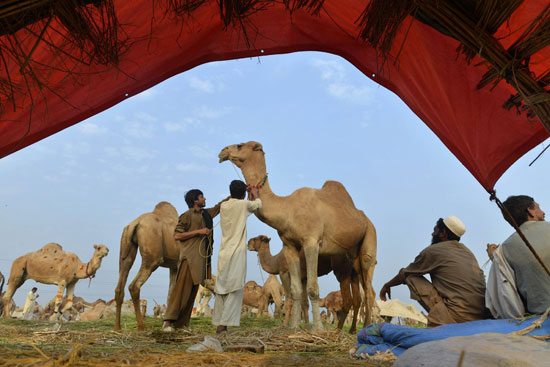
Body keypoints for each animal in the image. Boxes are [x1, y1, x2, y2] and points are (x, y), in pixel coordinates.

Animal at [113, 203, 180, 332]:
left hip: (126, 249)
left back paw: (117, 328)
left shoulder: (173, 266)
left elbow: (171, 293)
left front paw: (167, 325)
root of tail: (135, 223)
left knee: (119, 287)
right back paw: (141, 326)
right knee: (134, 286)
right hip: (153, 259)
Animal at [220, 141, 380, 330]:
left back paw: (367, 327)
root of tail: (366, 220)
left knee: (369, 289)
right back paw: (349, 329)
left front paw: (318, 329)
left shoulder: (311, 241)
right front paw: (294, 326)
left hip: (370, 239)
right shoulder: (289, 245)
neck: (287, 208)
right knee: (360, 291)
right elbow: (296, 291)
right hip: (351, 258)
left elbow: (312, 289)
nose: (222, 152)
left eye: (239, 145)